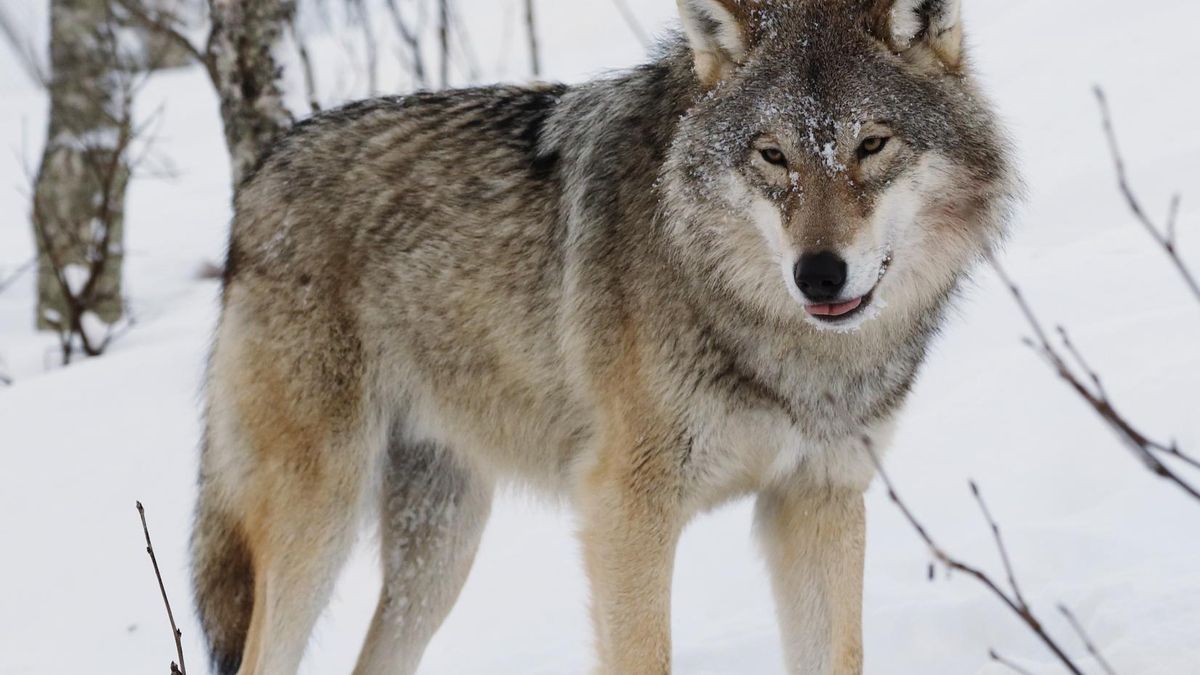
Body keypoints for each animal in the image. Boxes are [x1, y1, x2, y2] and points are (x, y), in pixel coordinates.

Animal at [192, 0, 1016, 673]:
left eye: (872, 144)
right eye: (772, 155)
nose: (818, 274)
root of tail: (261, 174)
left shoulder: (818, 497)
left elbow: (840, 655)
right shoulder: (625, 509)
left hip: (441, 546)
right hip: (320, 518)